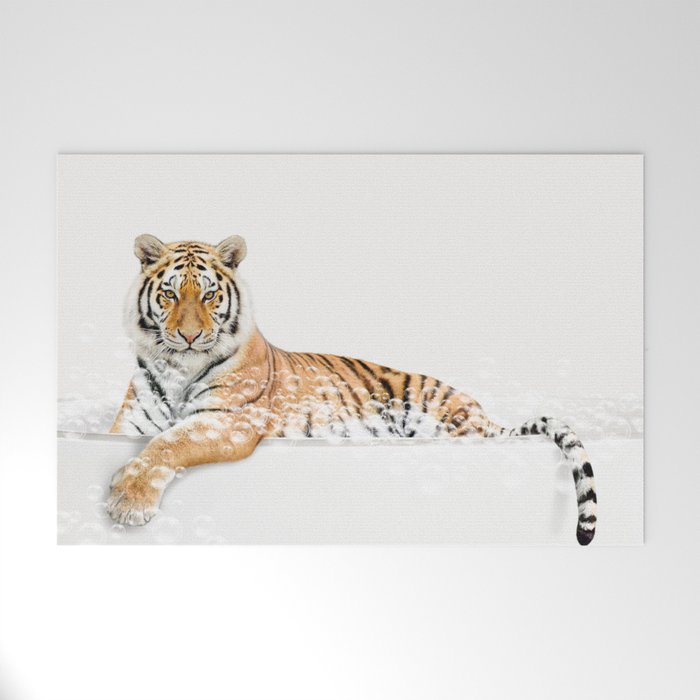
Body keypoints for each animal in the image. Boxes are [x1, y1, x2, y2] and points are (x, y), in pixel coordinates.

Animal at [107, 234, 598, 545]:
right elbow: (152, 439)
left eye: (209, 296)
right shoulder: (130, 424)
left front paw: (126, 502)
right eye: (171, 295)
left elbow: (170, 443)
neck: (179, 368)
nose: (190, 336)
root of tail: (484, 415)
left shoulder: (230, 420)